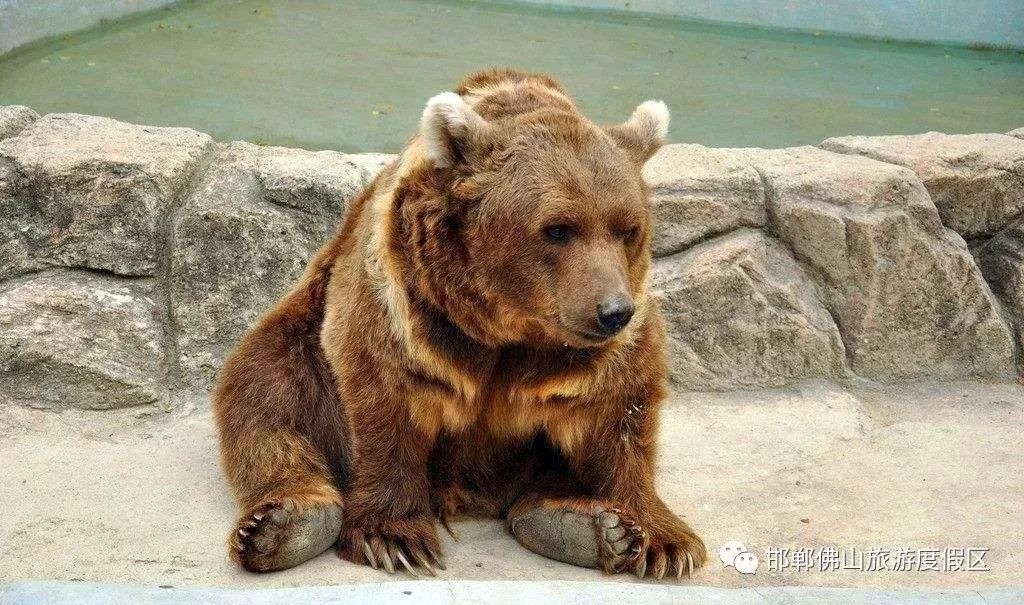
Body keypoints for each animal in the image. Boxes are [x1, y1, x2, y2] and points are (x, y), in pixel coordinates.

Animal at [218, 68, 704, 581]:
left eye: (627, 229)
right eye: (558, 228)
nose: (612, 311)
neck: (509, 323)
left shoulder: (606, 337)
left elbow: (620, 410)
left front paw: (664, 539)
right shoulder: (407, 299)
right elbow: (383, 389)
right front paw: (394, 537)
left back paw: (584, 526)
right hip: (301, 328)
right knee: (265, 394)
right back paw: (285, 522)